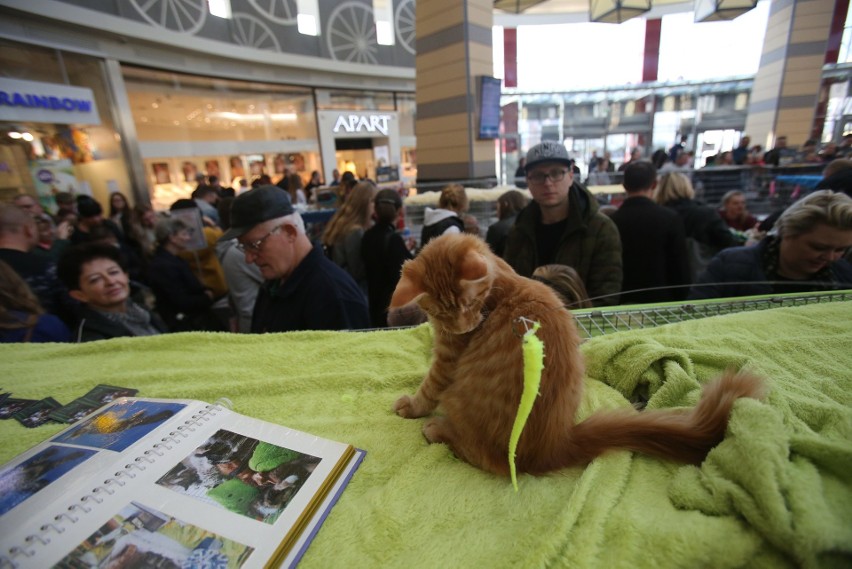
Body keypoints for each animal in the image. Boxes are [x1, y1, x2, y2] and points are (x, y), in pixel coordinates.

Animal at [392, 232, 764, 474]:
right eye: (441, 312)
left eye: (469, 306)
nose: (462, 327)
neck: (500, 277)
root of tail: (554, 446)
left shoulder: (448, 359)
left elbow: (429, 386)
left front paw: (411, 406)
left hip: (460, 403)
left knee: (479, 455)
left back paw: (437, 431)